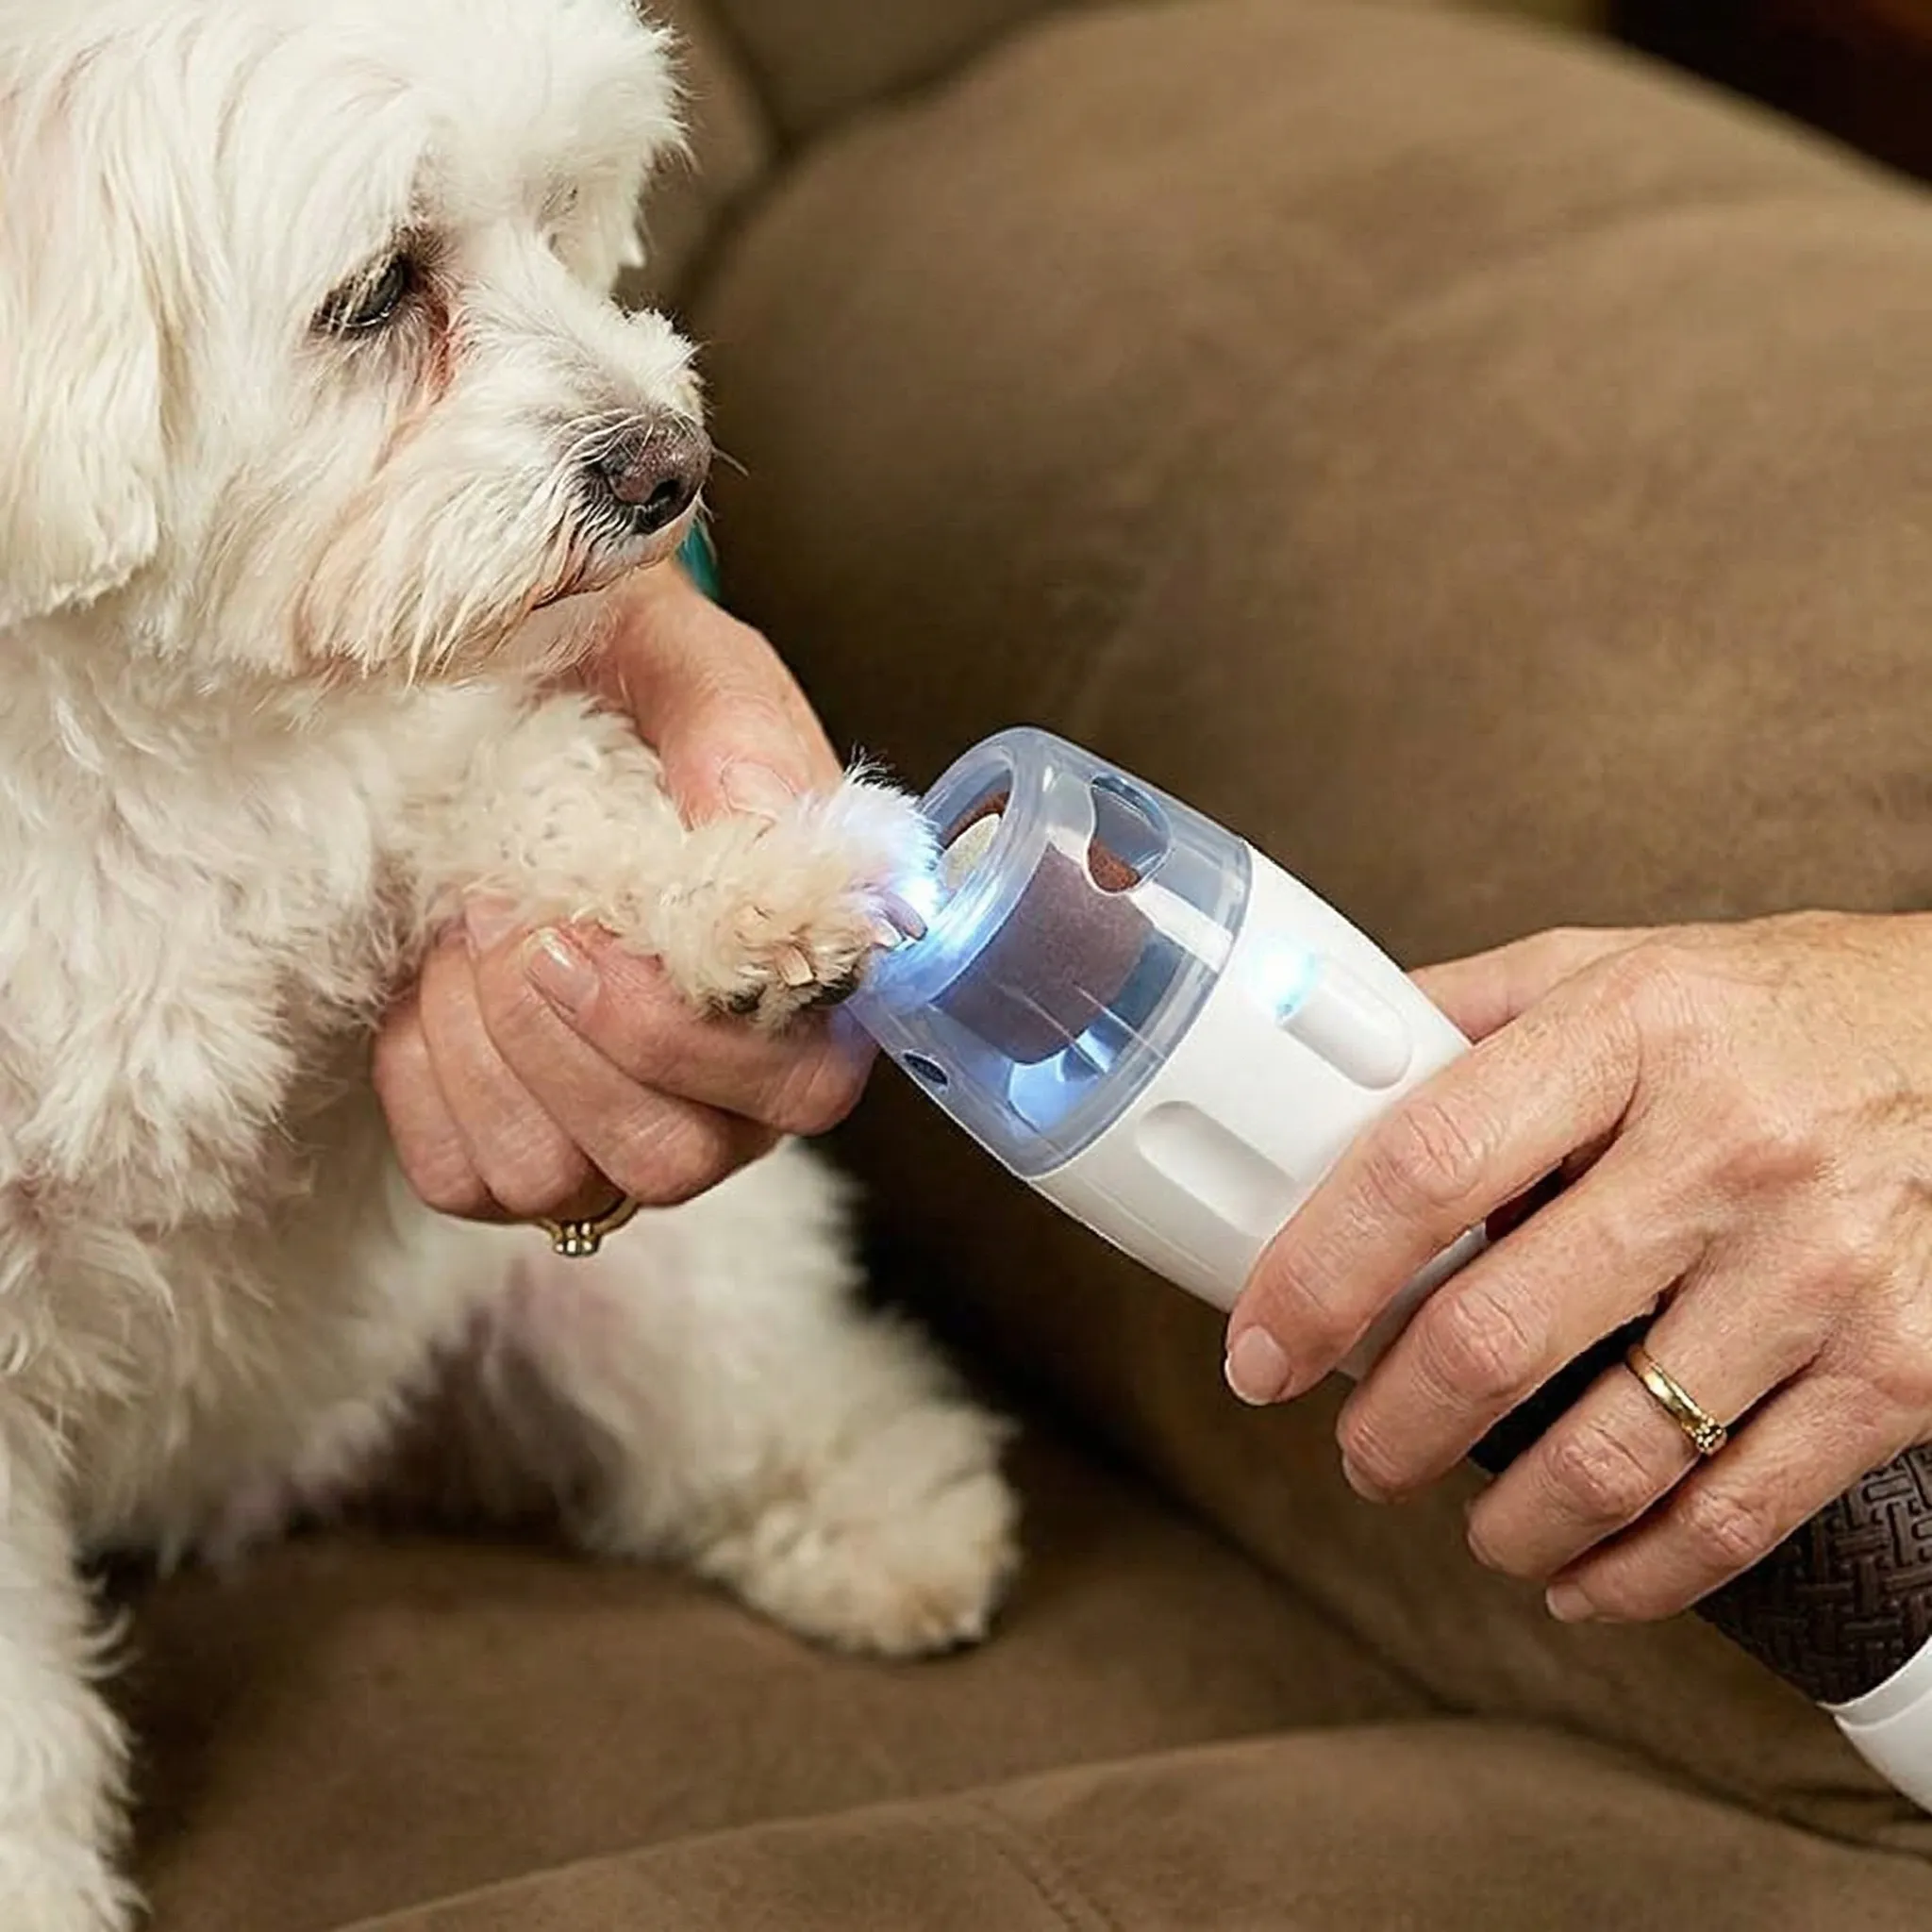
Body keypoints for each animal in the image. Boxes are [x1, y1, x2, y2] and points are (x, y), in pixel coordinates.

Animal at [0, 0, 1018, 1921]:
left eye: (559, 215)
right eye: (376, 291)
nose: (670, 465)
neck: (132, 748)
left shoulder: (413, 780)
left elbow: (552, 802)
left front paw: (756, 883)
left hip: (629, 1295)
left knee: (776, 1397)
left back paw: (889, 1525)